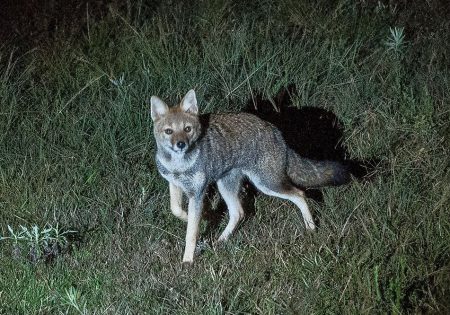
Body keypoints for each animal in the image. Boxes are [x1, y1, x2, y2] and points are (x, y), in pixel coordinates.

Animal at [149, 90, 350, 266]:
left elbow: (191, 233)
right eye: (169, 131)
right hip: (226, 186)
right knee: (238, 212)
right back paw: (222, 239)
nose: (180, 144)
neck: (179, 166)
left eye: (187, 129)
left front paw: (188, 261)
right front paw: (202, 215)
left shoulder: (197, 192)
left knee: (299, 194)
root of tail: (276, 132)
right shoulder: (175, 184)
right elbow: (176, 209)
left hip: (267, 184)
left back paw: (311, 227)